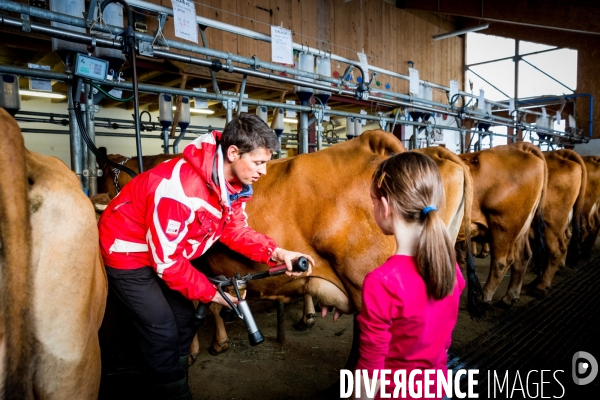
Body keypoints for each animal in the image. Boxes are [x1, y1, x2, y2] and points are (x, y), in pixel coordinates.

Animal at [458, 141, 548, 306]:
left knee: (501, 262)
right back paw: (510, 297)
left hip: (503, 225)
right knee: (523, 256)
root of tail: (519, 146)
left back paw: (483, 297)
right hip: (521, 226)